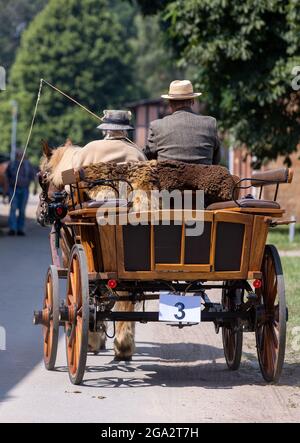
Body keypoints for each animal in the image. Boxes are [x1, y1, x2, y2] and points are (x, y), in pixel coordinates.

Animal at [37, 140, 136, 362]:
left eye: (42, 177)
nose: (40, 214)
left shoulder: (71, 256)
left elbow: (84, 295)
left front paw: (91, 336)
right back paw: (124, 345)